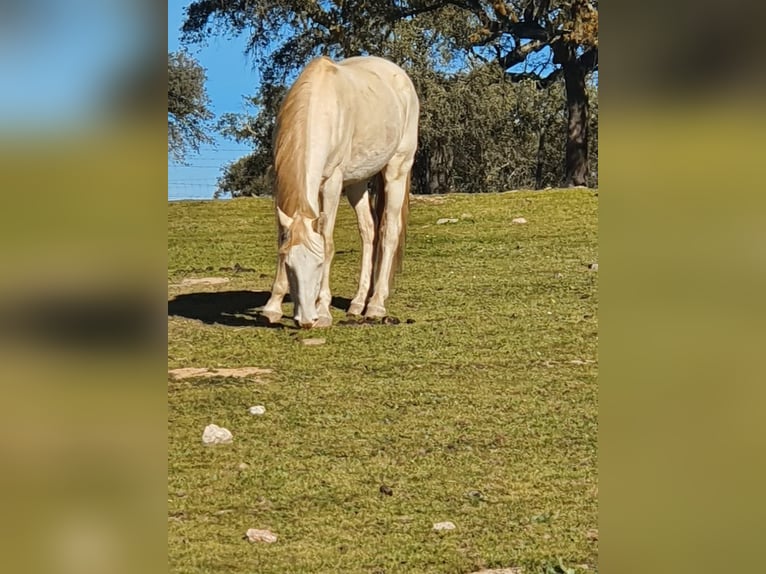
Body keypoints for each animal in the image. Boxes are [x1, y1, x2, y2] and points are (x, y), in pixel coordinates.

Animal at [262, 57, 420, 332]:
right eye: (290, 266)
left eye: (318, 265)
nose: (306, 321)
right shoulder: (280, 185)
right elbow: (283, 237)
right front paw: (272, 306)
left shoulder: (332, 183)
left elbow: (327, 243)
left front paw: (324, 311)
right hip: (358, 182)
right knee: (369, 232)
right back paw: (358, 303)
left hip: (397, 169)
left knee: (389, 232)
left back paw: (376, 305)